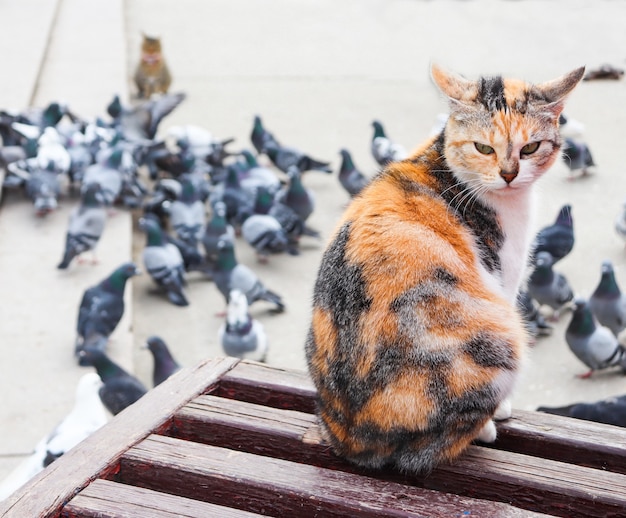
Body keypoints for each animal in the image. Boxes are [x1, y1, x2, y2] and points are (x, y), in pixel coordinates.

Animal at [304, 64, 584, 476]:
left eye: (530, 148)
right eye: (483, 148)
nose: (508, 174)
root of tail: (351, 438)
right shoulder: (504, 278)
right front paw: (499, 413)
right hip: (500, 335)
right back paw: (485, 427)